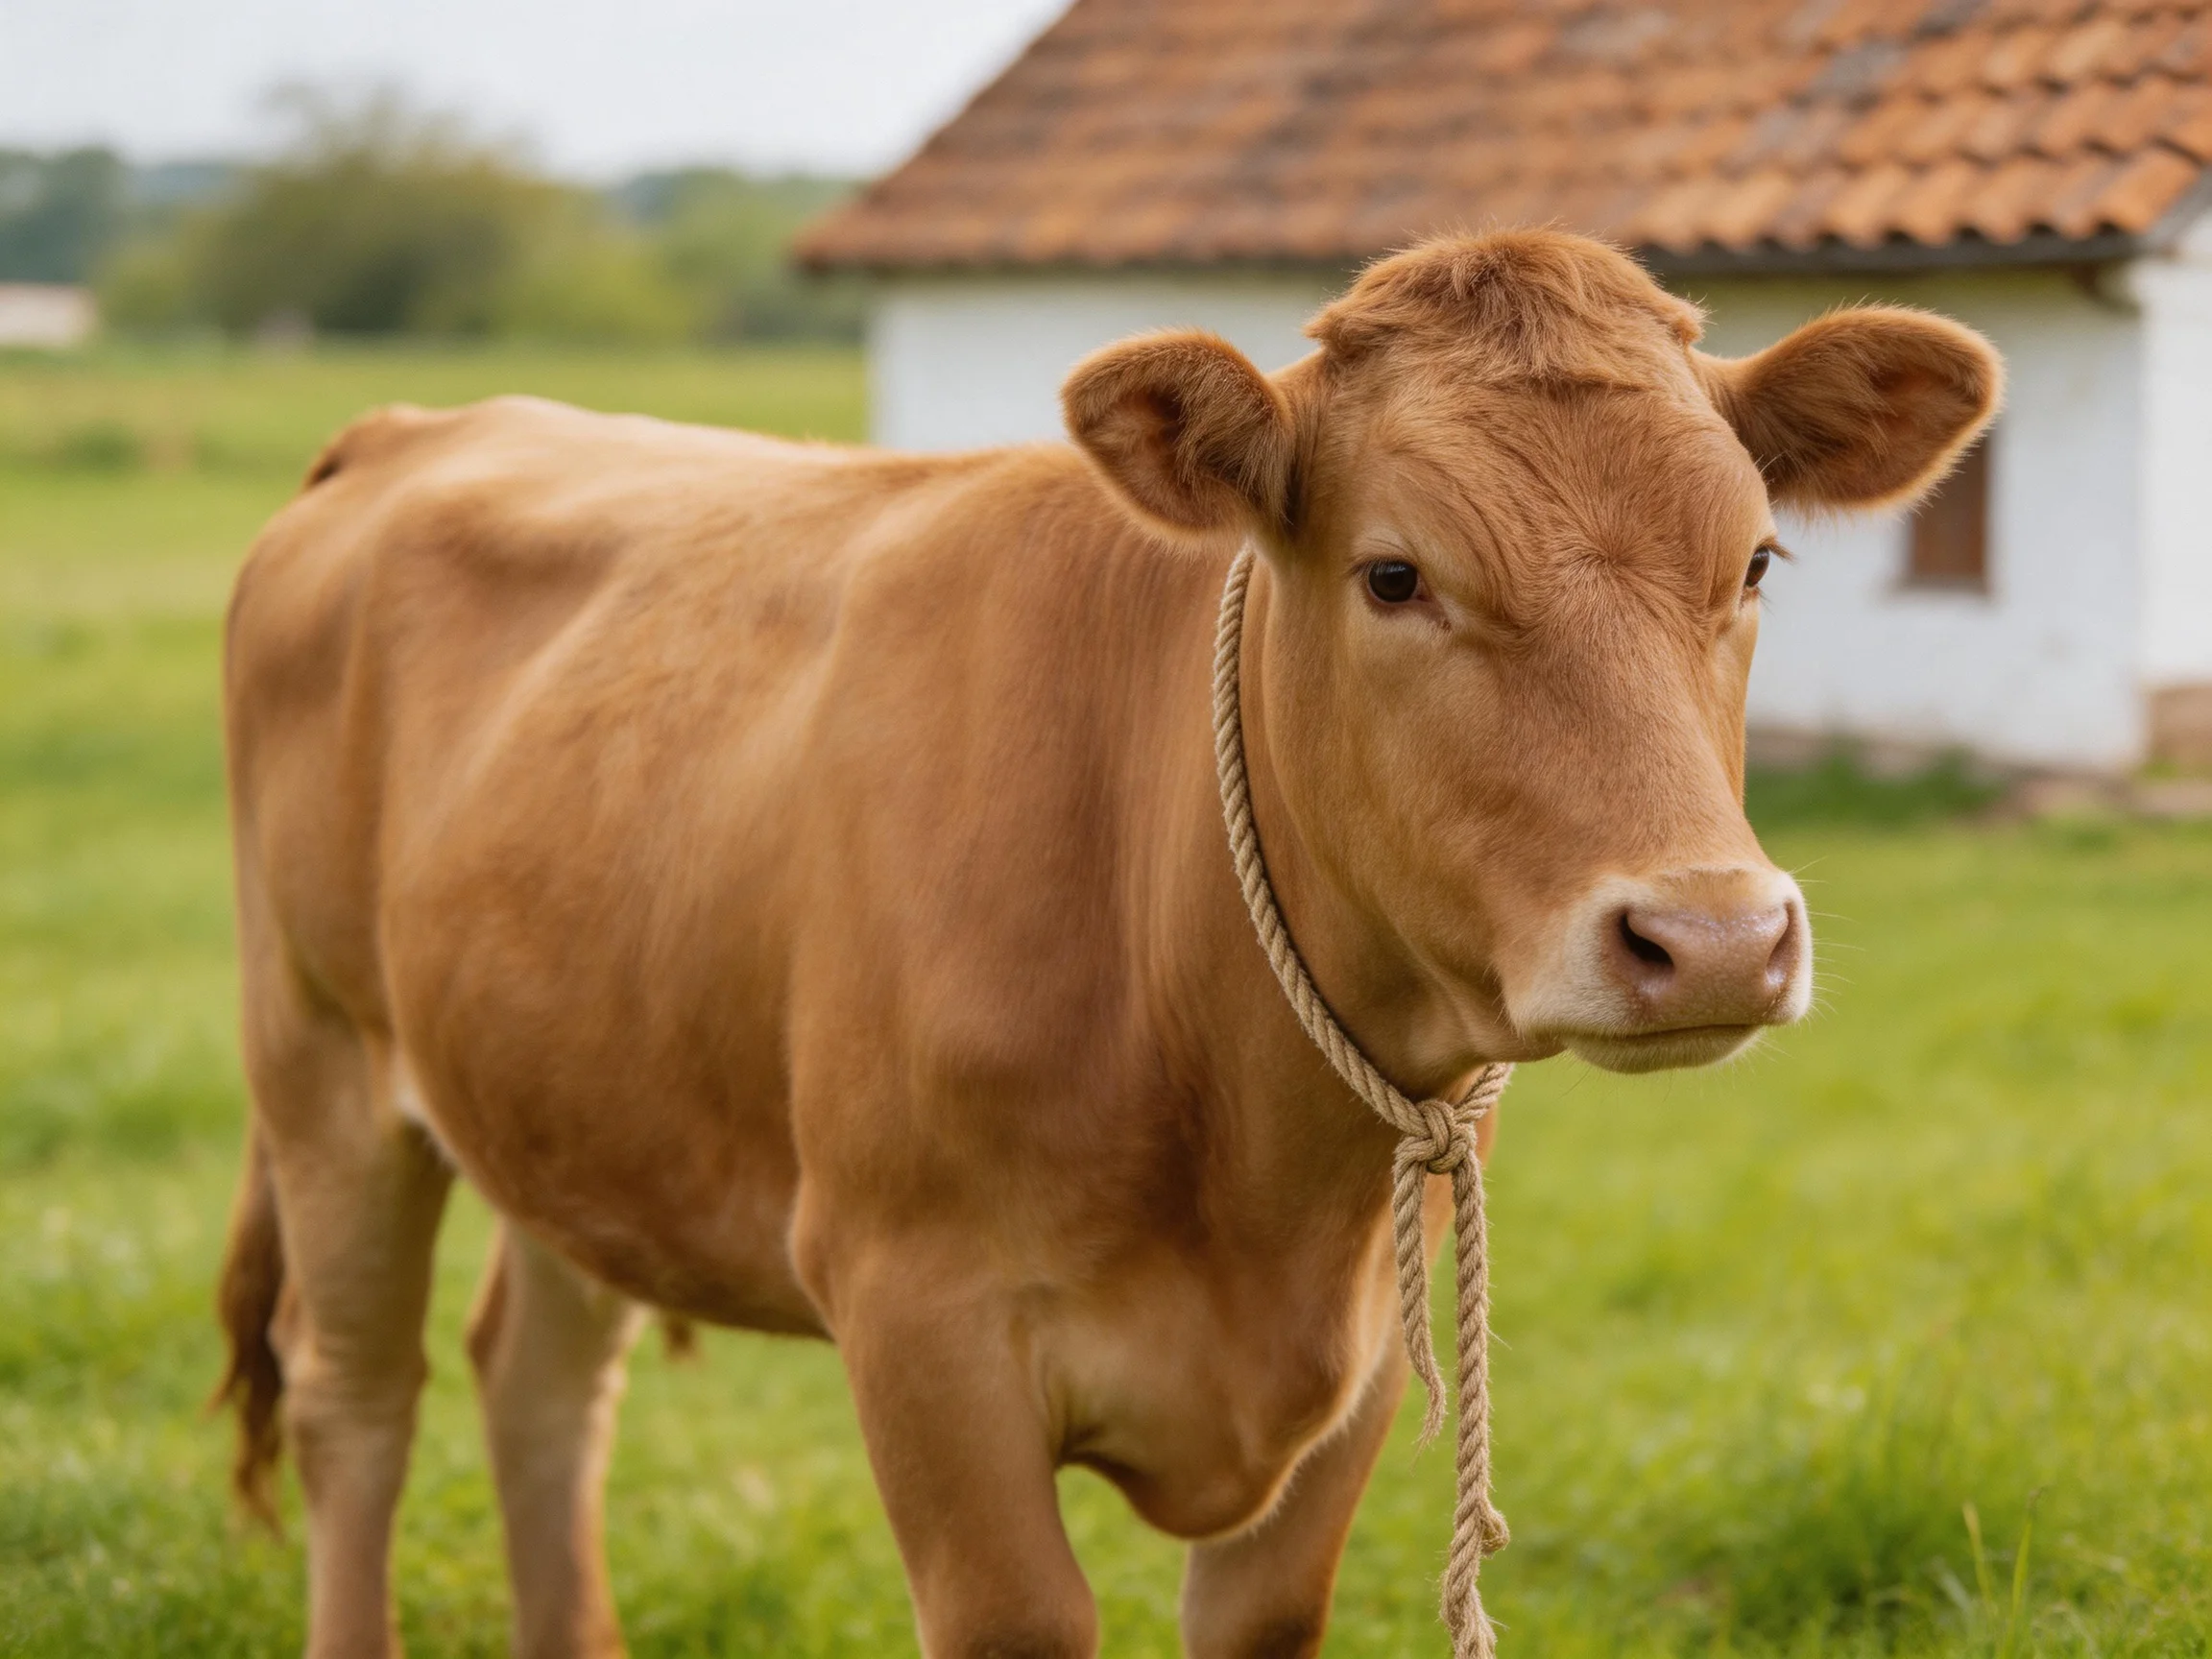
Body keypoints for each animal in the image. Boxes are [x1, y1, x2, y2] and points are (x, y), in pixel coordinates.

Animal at [214, 230, 1999, 1659]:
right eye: (1394, 573)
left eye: (1753, 559)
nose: (1711, 937)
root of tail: (424, 426)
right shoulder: (921, 1321)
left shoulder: (1356, 1358)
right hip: (320, 1059)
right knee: (356, 1401)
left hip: (575, 1097)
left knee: (539, 1386)